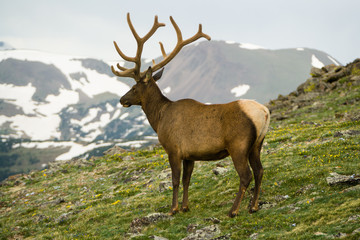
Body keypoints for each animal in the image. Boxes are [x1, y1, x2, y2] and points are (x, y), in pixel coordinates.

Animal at [112, 12, 270, 218]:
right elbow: (187, 179)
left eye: (133, 87)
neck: (159, 118)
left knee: (246, 175)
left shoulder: (173, 148)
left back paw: (234, 210)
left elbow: (175, 180)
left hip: (239, 145)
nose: (122, 99)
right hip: (257, 144)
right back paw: (254, 206)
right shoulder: (190, 154)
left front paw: (173, 209)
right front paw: (185, 206)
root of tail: (264, 112)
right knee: (259, 171)